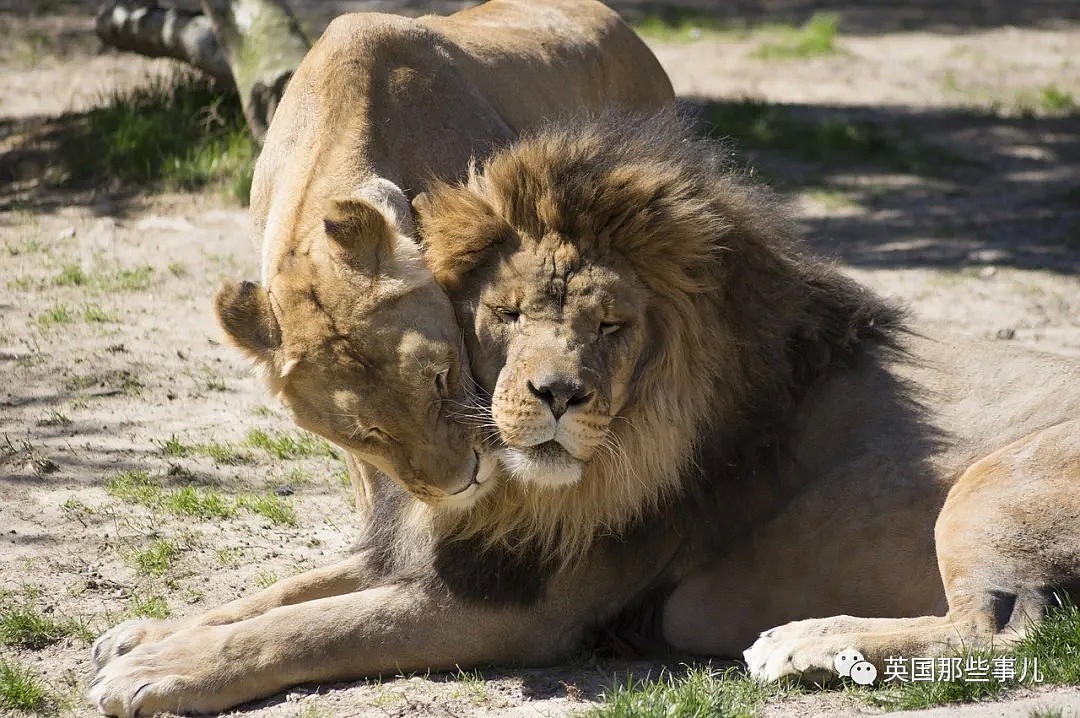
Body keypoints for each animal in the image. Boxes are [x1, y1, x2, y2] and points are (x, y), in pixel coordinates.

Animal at [88, 114, 1075, 712]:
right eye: (506, 312)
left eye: (610, 324)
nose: (558, 394)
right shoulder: (451, 550)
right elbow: (290, 588)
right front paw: (148, 633)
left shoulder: (525, 611)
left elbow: (323, 623)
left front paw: (160, 670)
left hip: (989, 486)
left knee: (1002, 633)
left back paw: (802, 644)